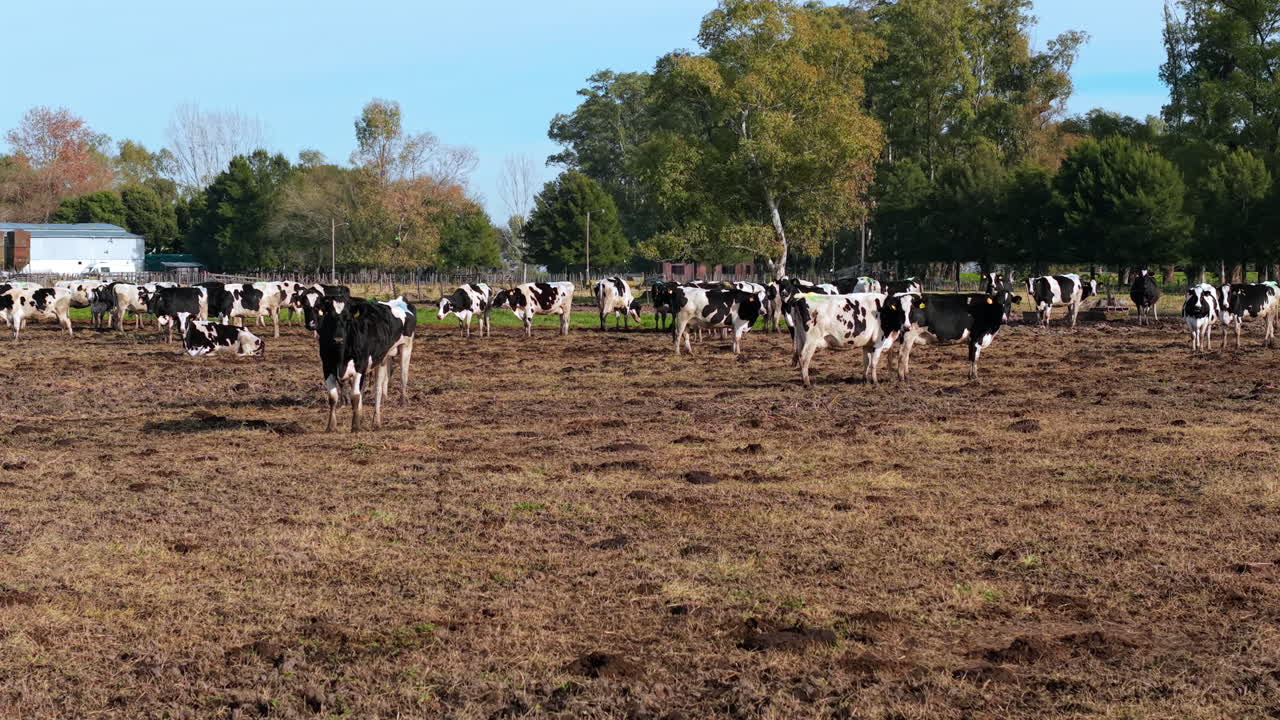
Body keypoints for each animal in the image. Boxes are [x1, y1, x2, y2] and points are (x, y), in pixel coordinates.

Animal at [317, 297, 417, 432]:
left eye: (348, 319)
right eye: (330, 317)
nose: (338, 339)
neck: (341, 355)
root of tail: (399, 299)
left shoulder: (360, 367)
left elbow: (355, 396)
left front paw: (355, 426)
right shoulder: (327, 367)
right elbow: (333, 397)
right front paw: (331, 426)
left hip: (406, 347)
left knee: (397, 379)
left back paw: (393, 409)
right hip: (382, 360)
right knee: (377, 388)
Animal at [881, 291, 1016, 382]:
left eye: (1009, 303)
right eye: (998, 303)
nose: (1004, 319)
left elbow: (972, 357)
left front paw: (970, 376)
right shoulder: (976, 338)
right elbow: (974, 358)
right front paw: (974, 377)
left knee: (906, 355)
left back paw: (907, 375)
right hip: (908, 334)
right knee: (902, 355)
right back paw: (902, 377)